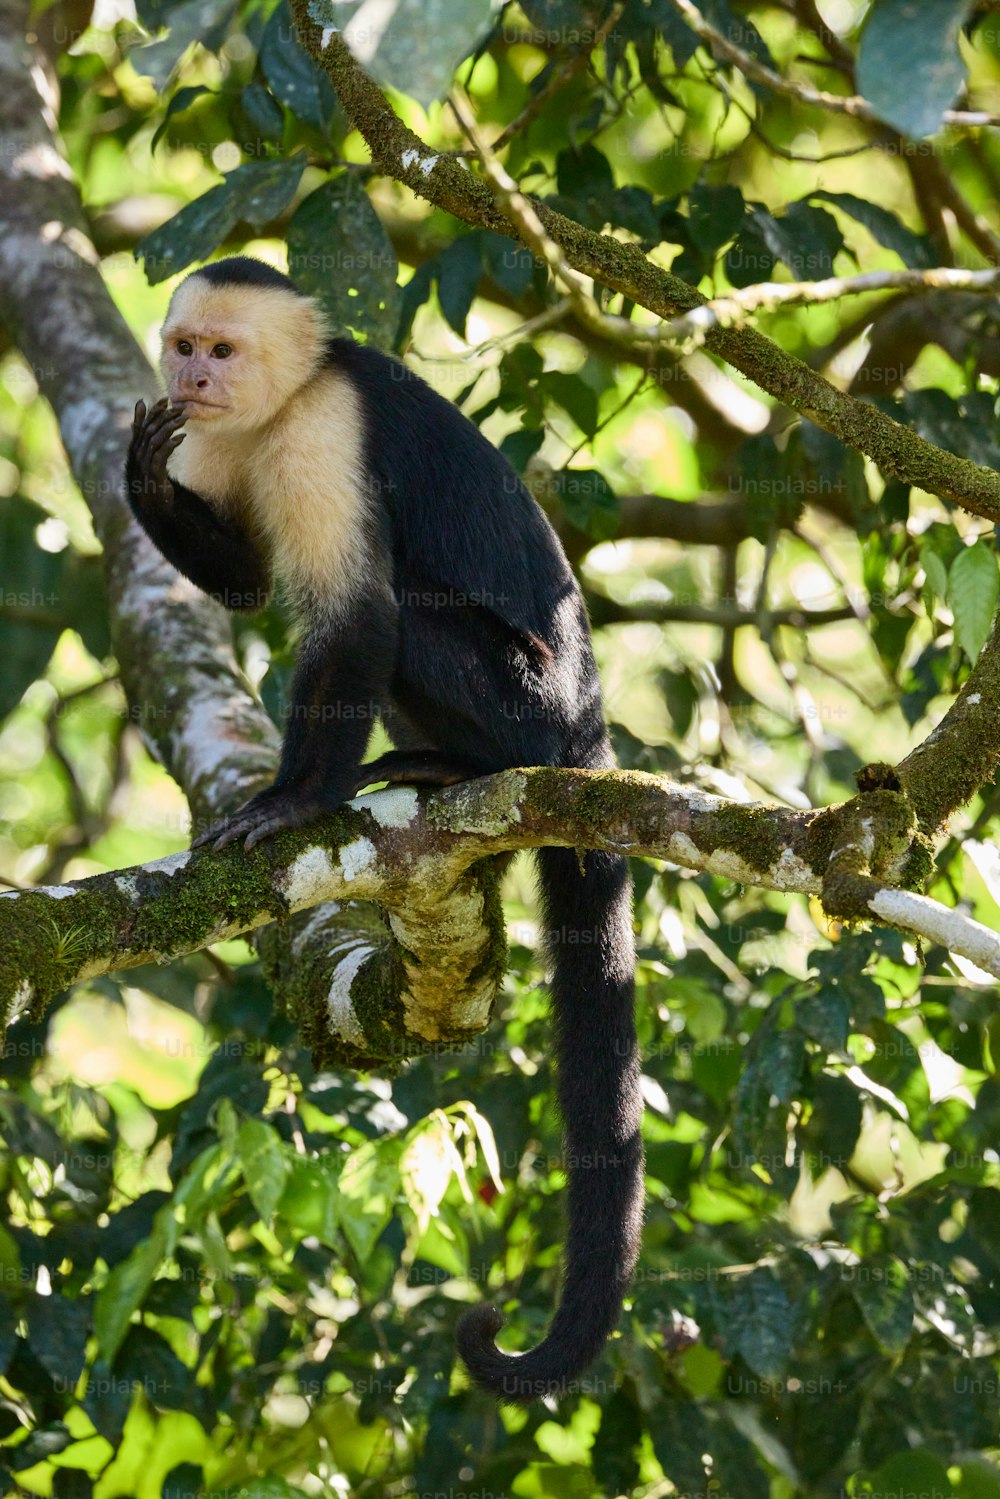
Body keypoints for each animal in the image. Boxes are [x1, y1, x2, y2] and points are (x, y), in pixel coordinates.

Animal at [125, 251, 644, 1397]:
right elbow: (248, 583)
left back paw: (474, 766)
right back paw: (434, 766)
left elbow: (357, 616)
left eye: (220, 349)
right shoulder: (218, 436)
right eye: (184, 348)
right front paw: (143, 483)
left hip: (533, 701)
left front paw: (289, 802)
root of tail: (590, 741)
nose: (192, 376)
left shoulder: (327, 430)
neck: (277, 402)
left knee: (409, 604)